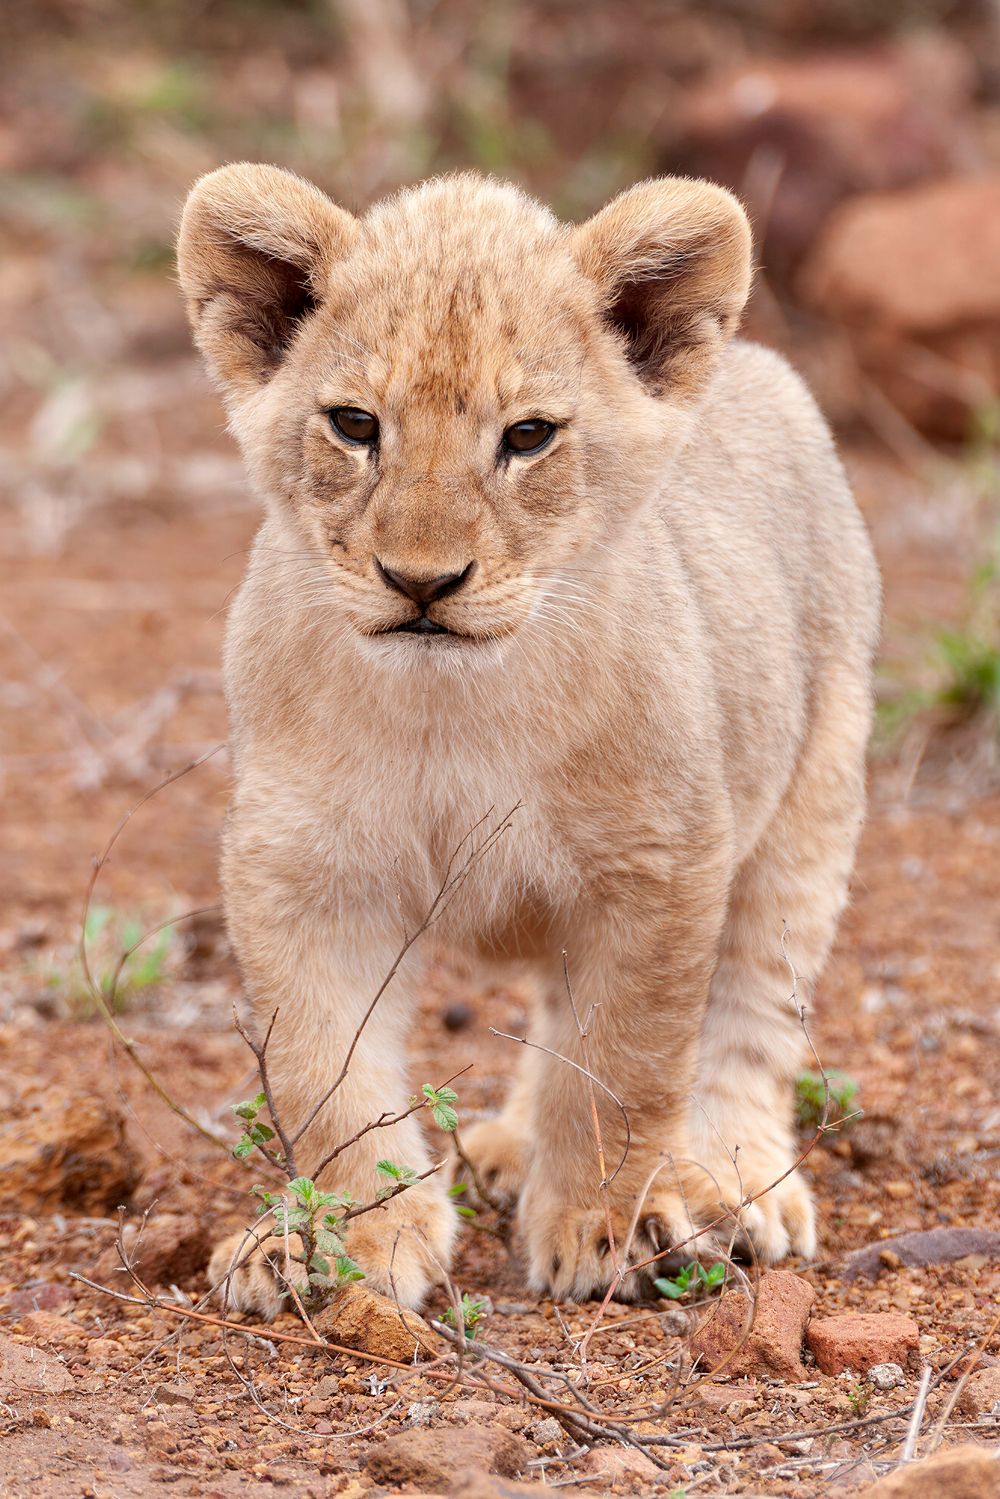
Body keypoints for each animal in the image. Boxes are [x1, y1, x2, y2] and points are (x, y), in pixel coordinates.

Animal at [176, 164, 880, 1317]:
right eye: (354, 424)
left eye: (528, 435)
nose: (421, 581)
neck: (450, 711)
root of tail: (759, 367)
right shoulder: (299, 870)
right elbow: (329, 1074)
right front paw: (346, 1241)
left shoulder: (658, 860)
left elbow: (626, 1062)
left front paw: (604, 1223)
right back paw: (505, 1148)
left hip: (811, 799)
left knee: (750, 1012)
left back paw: (731, 1179)